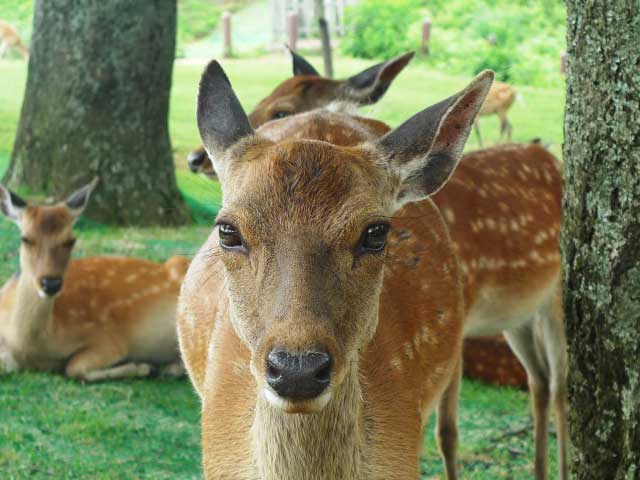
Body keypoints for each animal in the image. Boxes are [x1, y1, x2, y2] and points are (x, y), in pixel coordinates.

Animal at [0, 178, 189, 380]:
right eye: (25, 239)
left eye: (70, 241)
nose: (50, 283)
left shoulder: (109, 338)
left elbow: (74, 367)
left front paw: (143, 367)